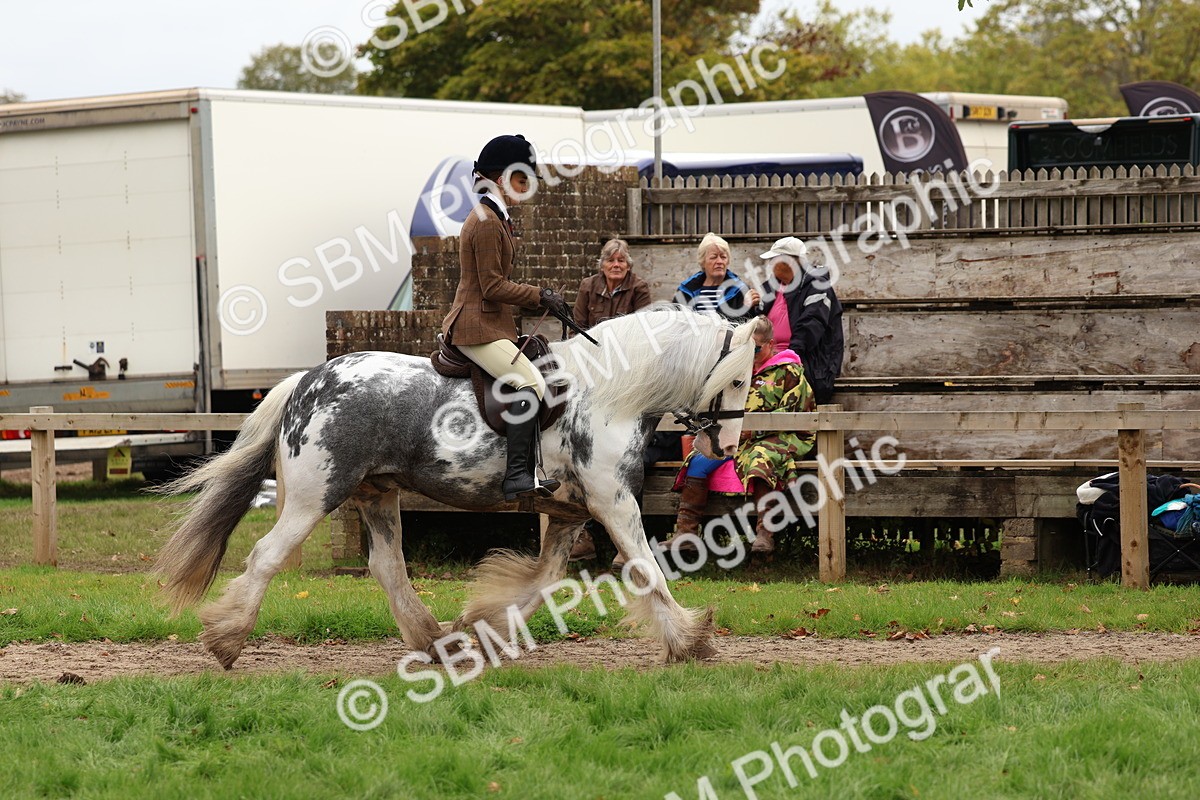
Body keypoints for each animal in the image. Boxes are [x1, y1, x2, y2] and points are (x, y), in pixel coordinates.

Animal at [155, 304, 769, 668]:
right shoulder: (613, 504)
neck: (609, 392)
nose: (725, 450)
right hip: (316, 497)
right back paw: (227, 641)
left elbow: (541, 580)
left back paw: (436, 640)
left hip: (378, 494)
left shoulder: (569, 513)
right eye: (739, 379)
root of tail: (307, 380)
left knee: (387, 566)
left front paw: (484, 624)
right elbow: (646, 567)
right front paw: (690, 639)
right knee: (266, 555)